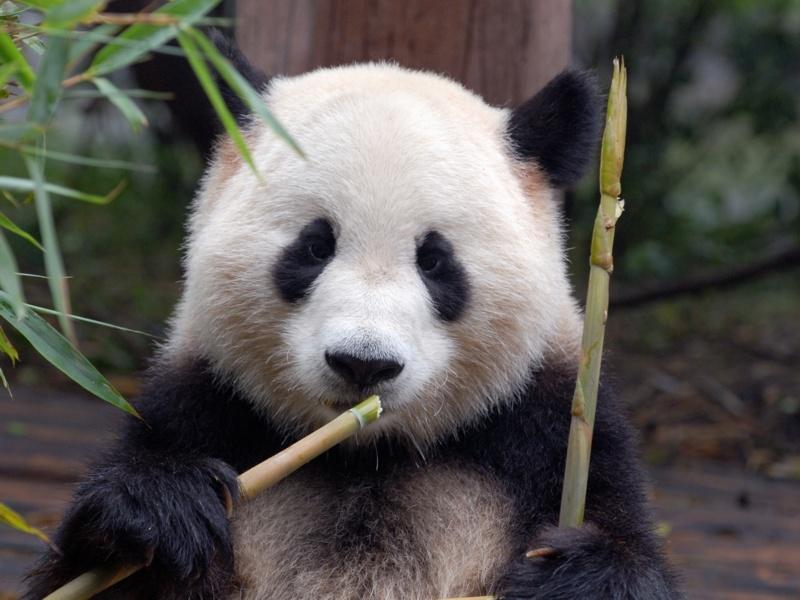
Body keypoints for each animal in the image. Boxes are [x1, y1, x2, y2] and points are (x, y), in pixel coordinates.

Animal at [26, 37, 680, 600]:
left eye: (435, 260)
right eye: (315, 246)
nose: (363, 364)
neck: (367, 457)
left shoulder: (545, 435)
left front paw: (575, 575)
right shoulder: (207, 408)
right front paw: (160, 509)